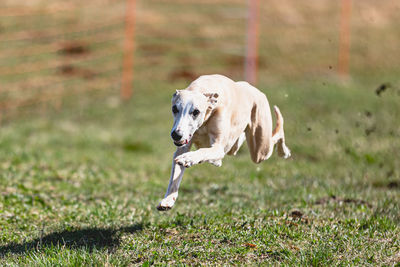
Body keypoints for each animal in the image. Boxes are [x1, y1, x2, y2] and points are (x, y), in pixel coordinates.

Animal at [156, 74, 290, 211]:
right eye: (174, 109)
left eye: (196, 112)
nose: (176, 135)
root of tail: (256, 90)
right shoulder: (183, 145)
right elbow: (175, 176)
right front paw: (168, 200)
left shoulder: (218, 147)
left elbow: (202, 151)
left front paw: (188, 158)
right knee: (235, 145)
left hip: (260, 149)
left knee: (274, 138)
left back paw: (283, 151)